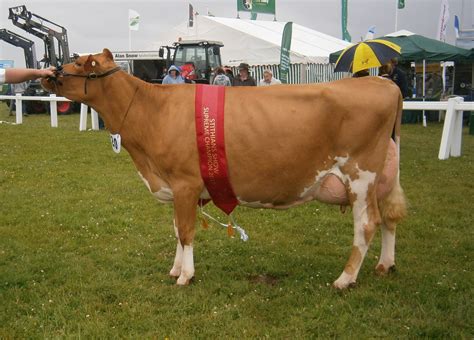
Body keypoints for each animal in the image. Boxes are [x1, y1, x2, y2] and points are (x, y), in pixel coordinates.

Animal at [42, 49, 408, 288]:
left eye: (79, 62)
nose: (49, 75)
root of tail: (384, 84)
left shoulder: (185, 182)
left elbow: (186, 231)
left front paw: (185, 276)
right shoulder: (177, 186)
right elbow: (176, 229)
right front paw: (175, 269)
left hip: (361, 176)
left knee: (367, 224)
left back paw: (344, 279)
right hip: (386, 176)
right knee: (391, 216)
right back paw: (385, 265)